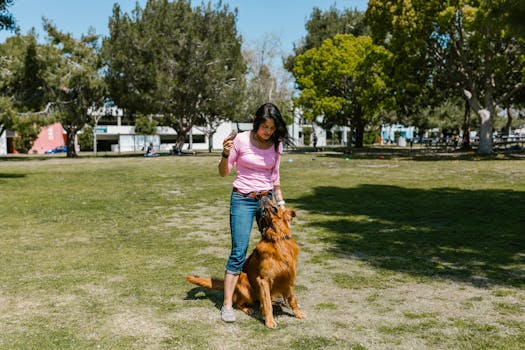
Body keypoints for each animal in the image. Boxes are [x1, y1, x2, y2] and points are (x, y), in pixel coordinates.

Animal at [186, 197, 304, 328]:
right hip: (244, 281)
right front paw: (269, 321)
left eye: (274, 206)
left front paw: (298, 313)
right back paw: (248, 309)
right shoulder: (263, 280)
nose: (263, 197)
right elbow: (266, 302)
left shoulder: (288, 277)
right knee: (240, 303)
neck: (277, 238)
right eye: (263, 212)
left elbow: (292, 299)